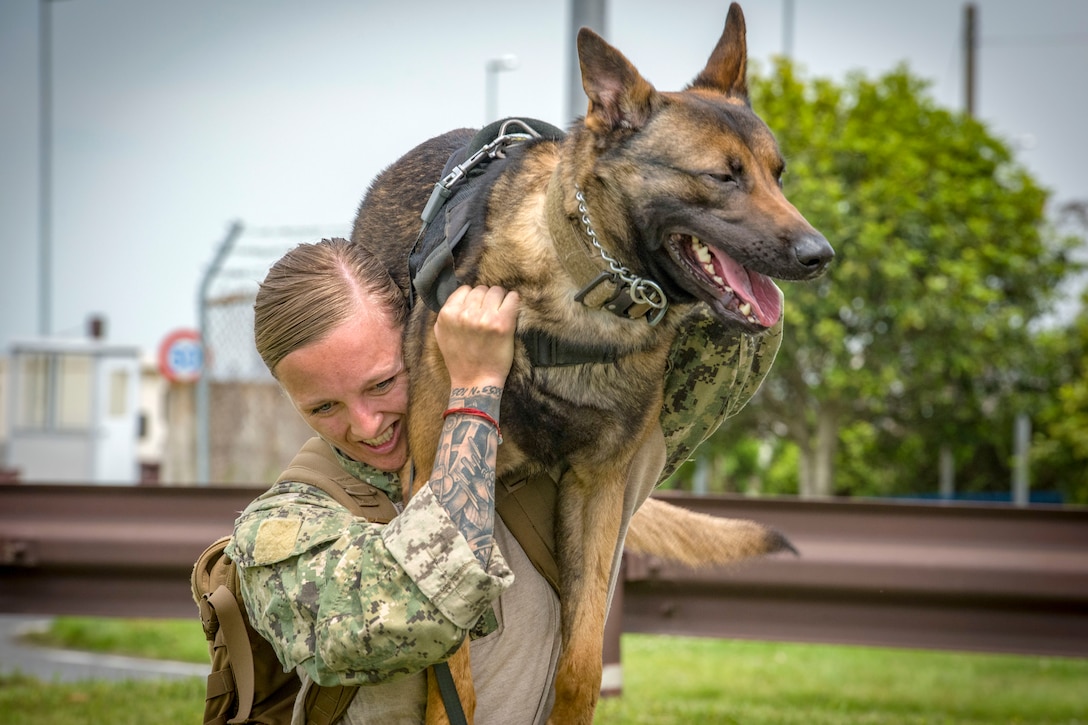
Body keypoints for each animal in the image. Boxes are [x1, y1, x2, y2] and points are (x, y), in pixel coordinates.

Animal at [354, 4, 831, 718]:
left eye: (779, 174)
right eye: (723, 176)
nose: (819, 254)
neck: (587, 294)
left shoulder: (597, 492)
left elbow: (581, 661)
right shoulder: (437, 487)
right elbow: (454, 668)